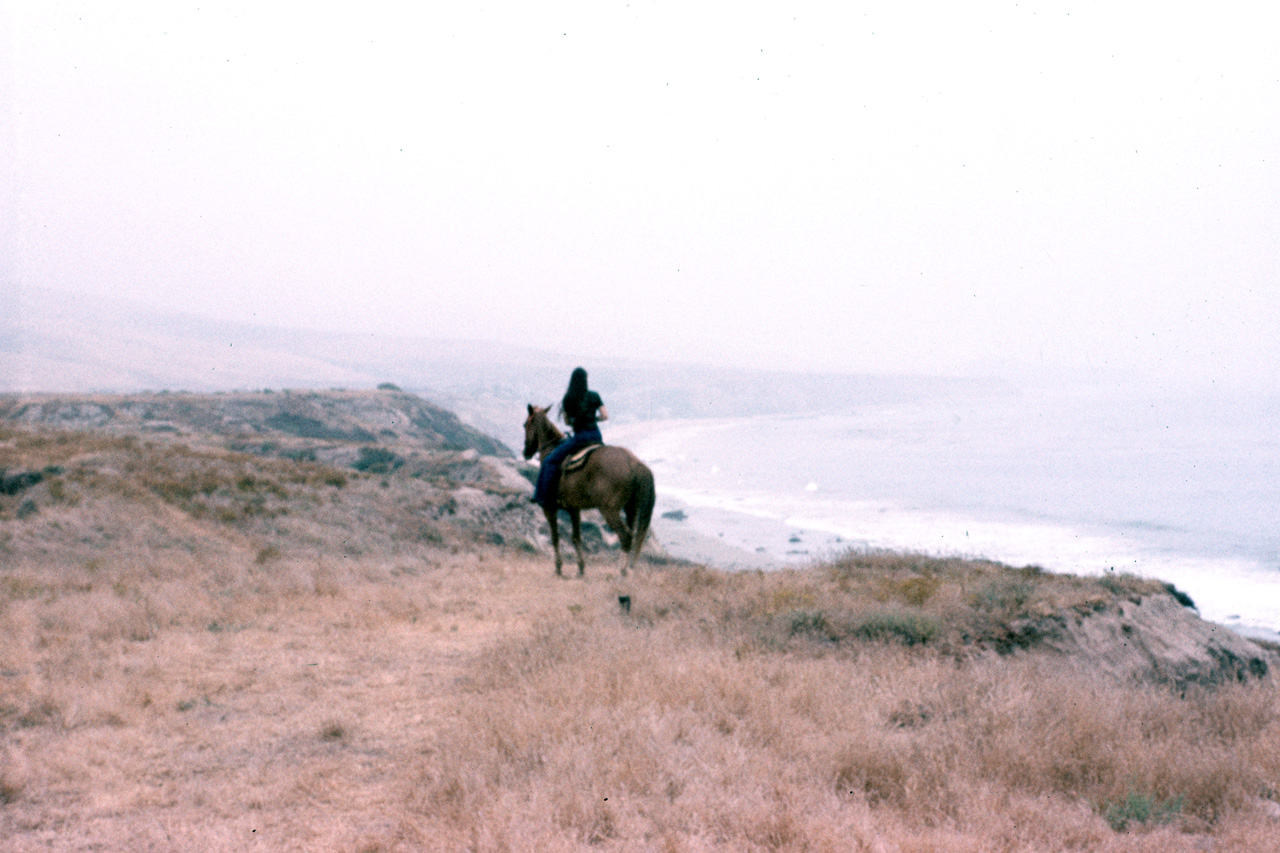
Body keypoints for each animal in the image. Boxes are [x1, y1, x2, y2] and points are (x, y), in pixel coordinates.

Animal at [522, 399, 655, 573]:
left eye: (525, 424)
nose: (525, 452)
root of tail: (632, 462)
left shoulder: (549, 508)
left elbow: (555, 536)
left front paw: (558, 568)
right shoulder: (574, 509)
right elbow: (576, 537)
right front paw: (580, 568)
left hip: (609, 510)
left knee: (625, 536)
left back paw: (620, 572)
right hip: (630, 508)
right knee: (631, 535)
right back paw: (625, 570)